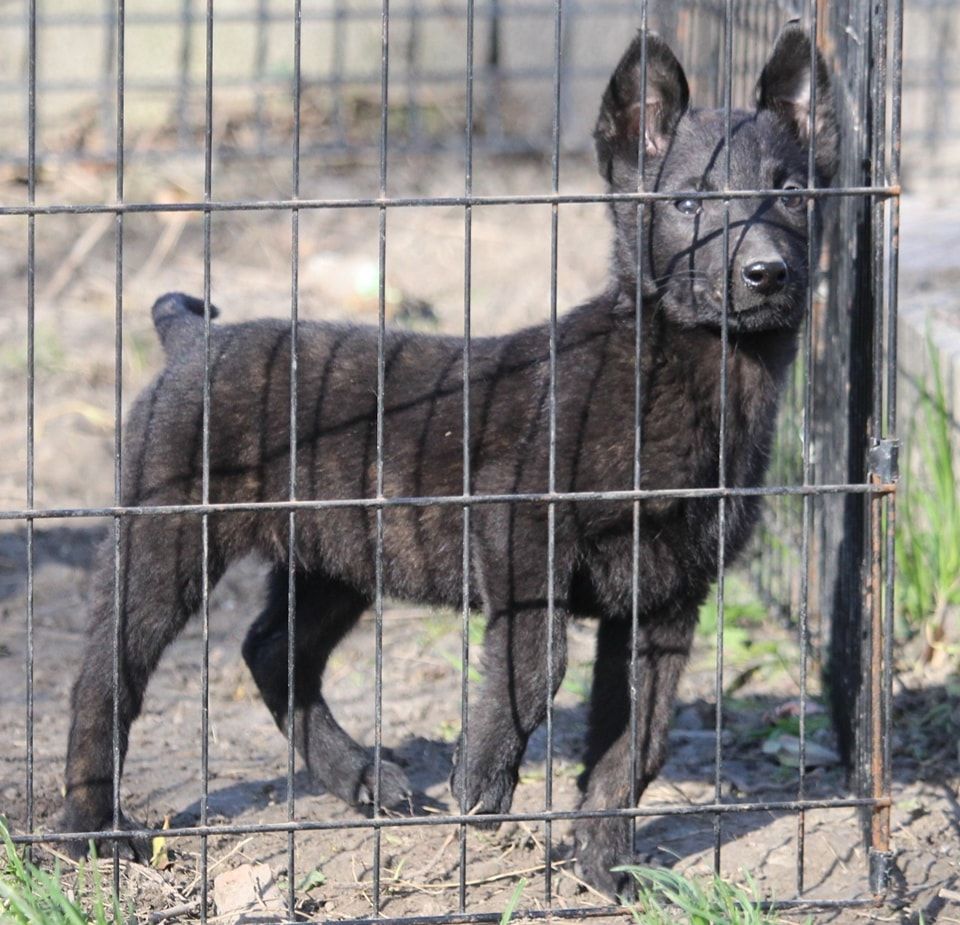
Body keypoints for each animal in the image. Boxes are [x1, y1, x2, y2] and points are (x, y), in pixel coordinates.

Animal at [63, 25, 837, 897]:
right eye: (688, 203)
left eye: (792, 194)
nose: (766, 272)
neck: (686, 372)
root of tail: (191, 338)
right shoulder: (519, 531)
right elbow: (536, 659)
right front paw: (485, 778)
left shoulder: (667, 602)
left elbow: (635, 744)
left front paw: (604, 865)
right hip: (164, 544)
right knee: (105, 678)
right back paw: (92, 830)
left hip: (336, 558)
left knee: (271, 652)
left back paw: (362, 778)